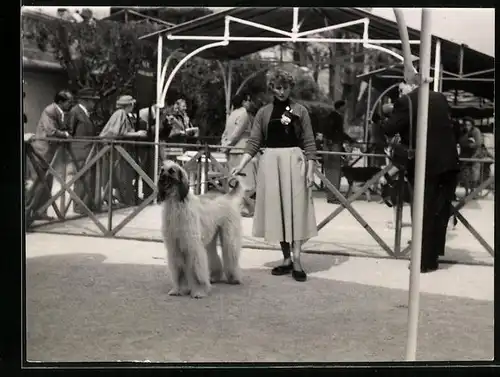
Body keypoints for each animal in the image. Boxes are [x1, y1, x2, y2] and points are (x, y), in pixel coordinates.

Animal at [156, 160, 242, 298]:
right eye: (161, 170)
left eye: (171, 171)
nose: (160, 178)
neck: (176, 203)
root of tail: (227, 197)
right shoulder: (175, 246)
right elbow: (179, 269)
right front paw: (178, 289)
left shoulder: (192, 245)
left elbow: (196, 270)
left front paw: (199, 291)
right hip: (210, 237)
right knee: (212, 253)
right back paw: (215, 276)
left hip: (229, 234)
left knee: (230, 253)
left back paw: (234, 278)